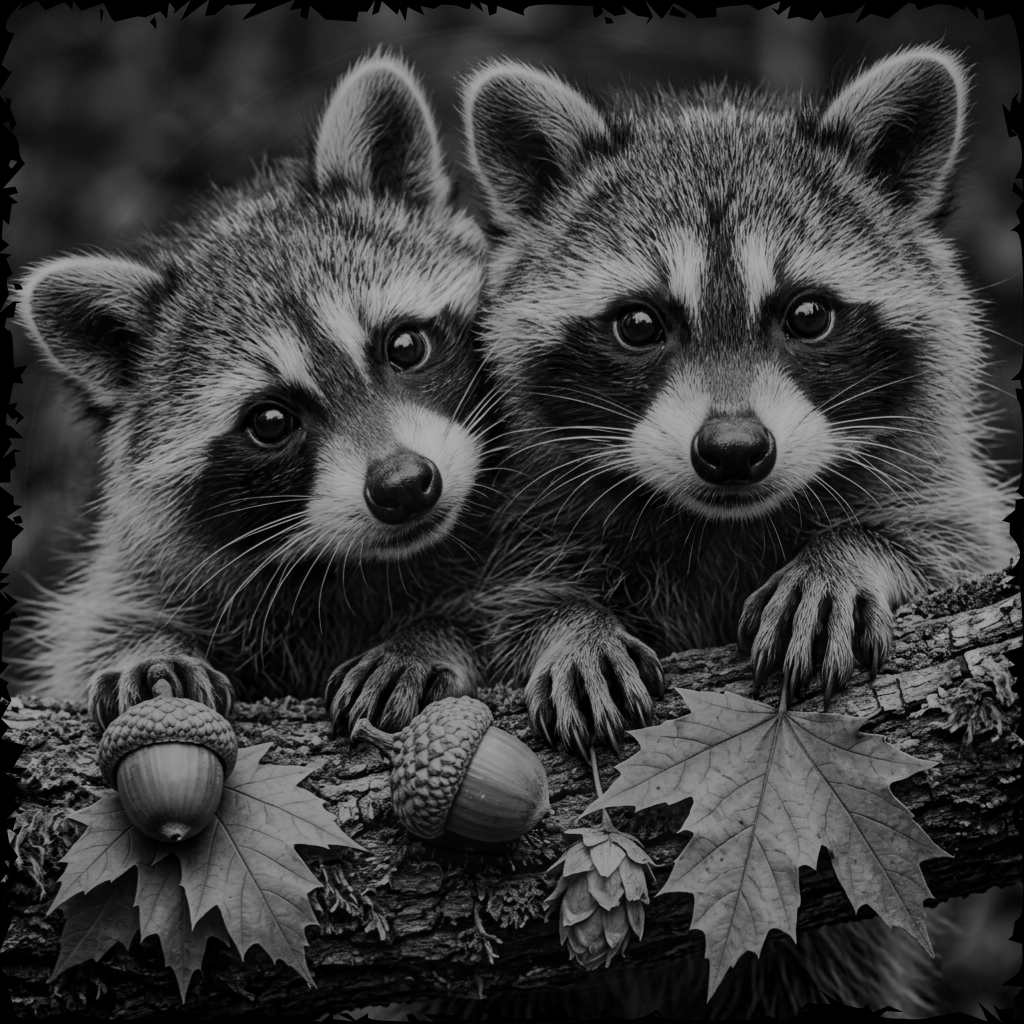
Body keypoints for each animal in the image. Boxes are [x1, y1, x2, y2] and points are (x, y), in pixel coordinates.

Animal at [16, 52, 493, 733]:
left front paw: (429, 634)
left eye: (404, 346)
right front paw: (145, 646)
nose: (403, 485)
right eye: (270, 420)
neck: (368, 563)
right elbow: (103, 624)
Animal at [459, 46, 1010, 759]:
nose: (733, 450)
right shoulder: (533, 508)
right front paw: (566, 623)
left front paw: (851, 552)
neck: (726, 524)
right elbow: (511, 598)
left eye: (808, 315)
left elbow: (955, 543)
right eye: (638, 324)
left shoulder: (934, 476)